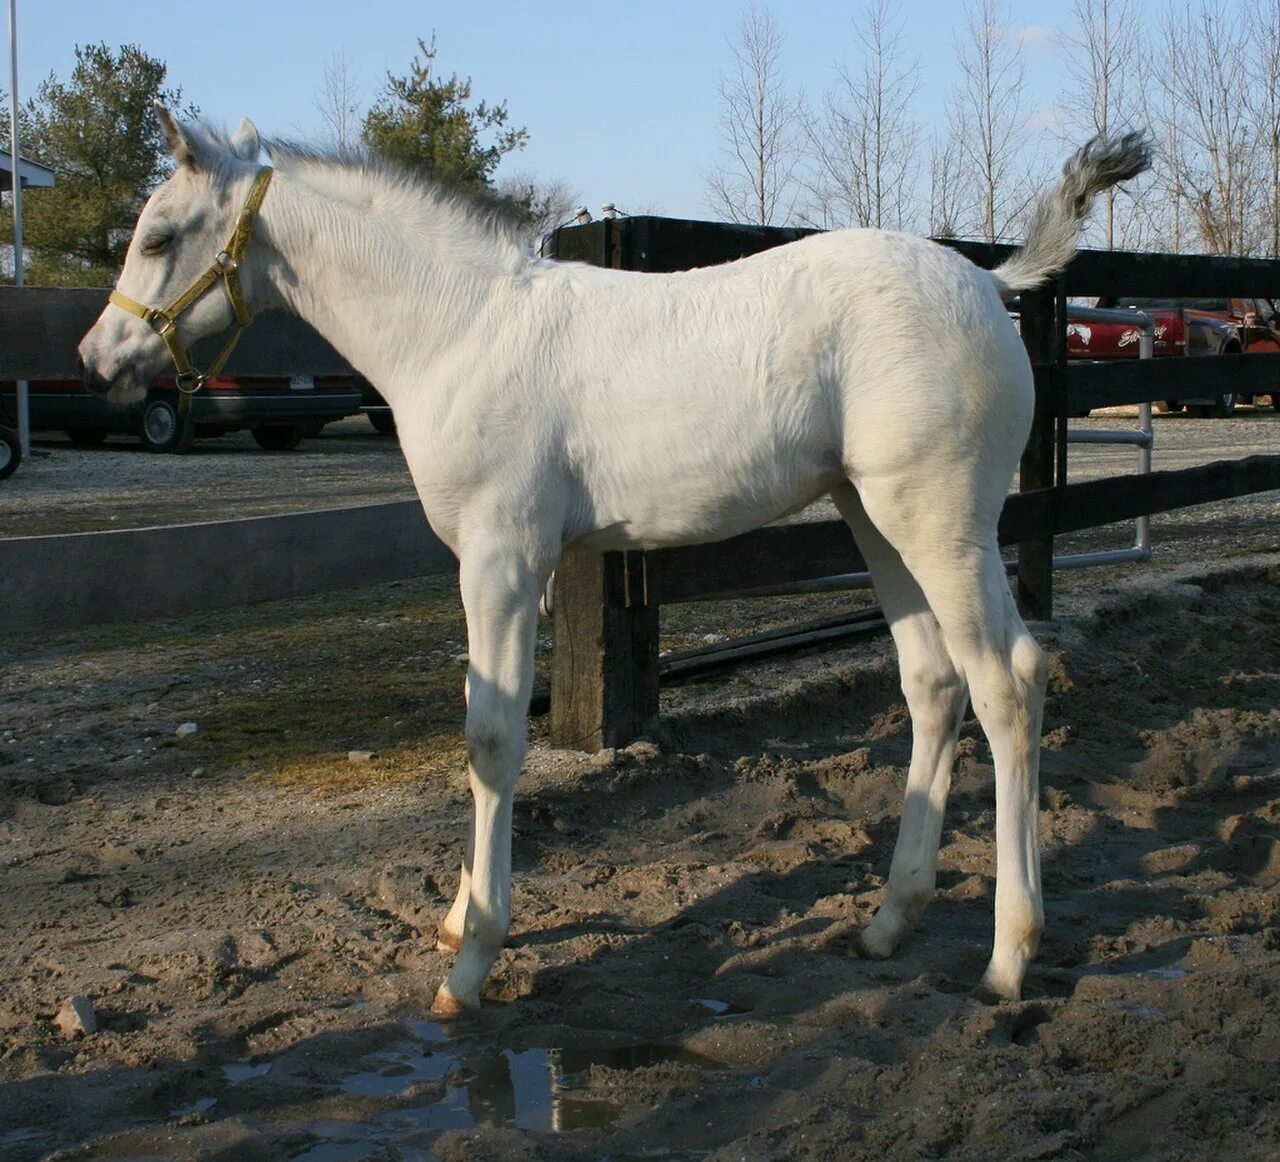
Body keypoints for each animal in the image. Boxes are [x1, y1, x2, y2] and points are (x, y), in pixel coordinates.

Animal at [85, 111, 1157, 1018]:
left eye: (159, 236)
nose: (99, 358)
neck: (459, 330)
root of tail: (990, 283)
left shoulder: (503, 558)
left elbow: (492, 738)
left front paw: (473, 961)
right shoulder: (499, 565)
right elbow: (486, 721)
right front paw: (458, 919)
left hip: (939, 522)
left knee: (1008, 681)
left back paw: (1009, 957)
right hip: (872, 518)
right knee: (933, 682)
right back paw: (888, 921)